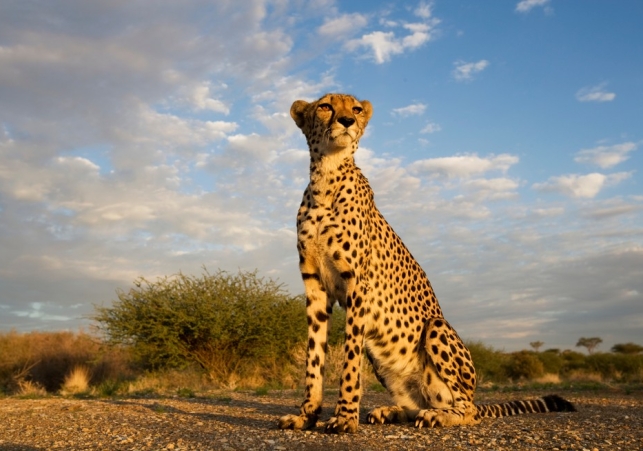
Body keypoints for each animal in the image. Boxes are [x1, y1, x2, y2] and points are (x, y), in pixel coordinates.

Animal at [280, 92, 576, 434]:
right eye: (326, 107)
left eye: (355, 108)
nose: (347, 121)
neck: (326, 180)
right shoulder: (315, 286)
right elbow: (314, 360)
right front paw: (307, 415)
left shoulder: (358, 287)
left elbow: (350, 363)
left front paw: (344, 418)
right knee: (418, 403)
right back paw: (392, 411)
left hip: (436, 328)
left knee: (466, 409)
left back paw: (441, 416)